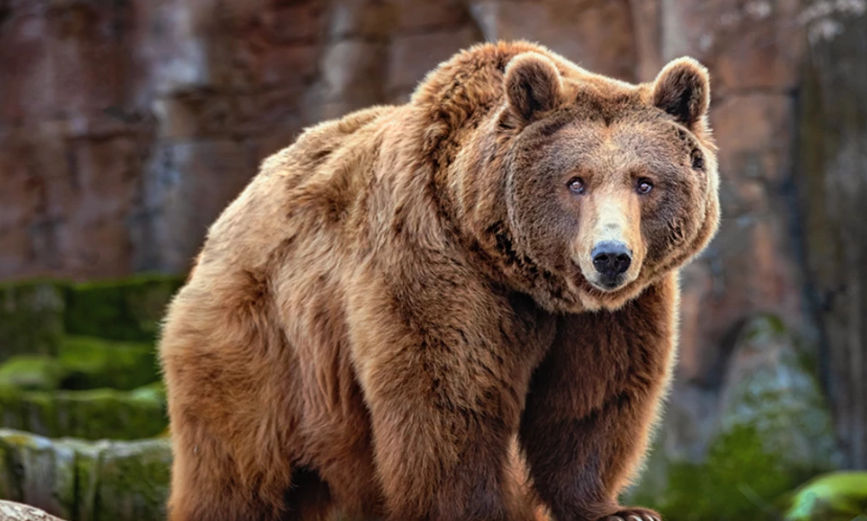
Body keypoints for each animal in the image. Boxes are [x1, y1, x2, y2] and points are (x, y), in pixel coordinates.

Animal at [159, 40, 724, 520]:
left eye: (644, 182)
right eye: (575, 181)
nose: (611, 257)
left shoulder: (610, 314)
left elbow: (592, 400)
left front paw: (619, 509)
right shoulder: (434, 265)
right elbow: (449, 398)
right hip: (260, 343)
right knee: (237, 463)